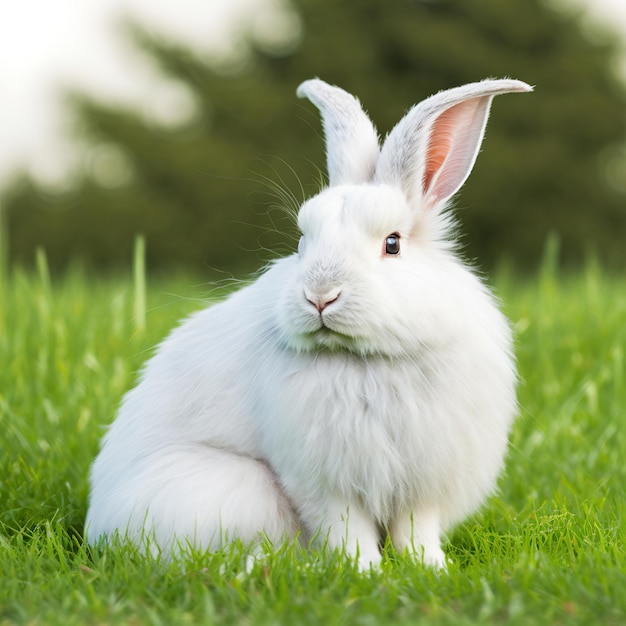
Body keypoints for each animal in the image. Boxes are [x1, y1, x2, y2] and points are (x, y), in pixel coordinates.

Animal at [85, 77, 528, 564]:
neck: (368, 358)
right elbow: (348, 529)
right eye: (302, 241)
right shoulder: (325, 482)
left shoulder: (423, 479)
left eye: (392, 243)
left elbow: (417, 530)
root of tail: (100, 524)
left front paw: (428, 568)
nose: (320, 296)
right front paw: (365, 570)